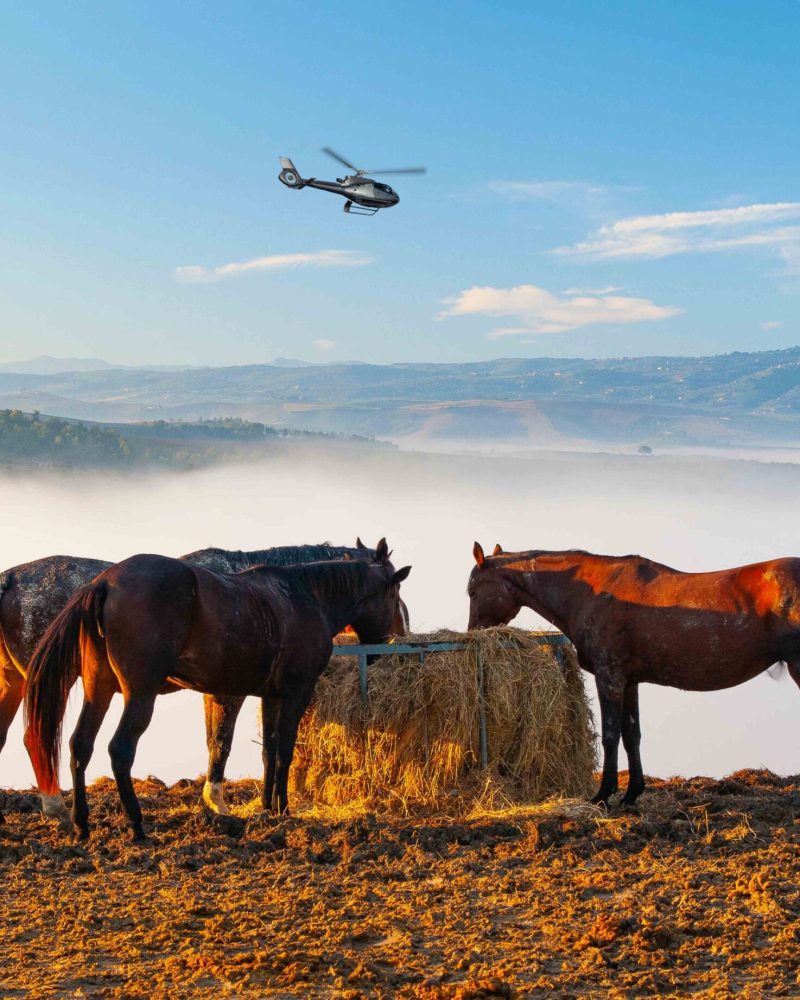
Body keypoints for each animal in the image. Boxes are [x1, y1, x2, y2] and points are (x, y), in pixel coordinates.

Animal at [24, 540, 411, 840]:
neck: (303, 598)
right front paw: (284, 810)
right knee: (120, 750)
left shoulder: (270, 696)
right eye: (396, 594)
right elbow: (284, 751)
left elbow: (269, 752)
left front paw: (268, 809)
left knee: (80, 746)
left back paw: (82, 825)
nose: (392, 644)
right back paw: (136, 825)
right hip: (139, 695)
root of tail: (105, 583)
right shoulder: (295, 693)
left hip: (99, 690)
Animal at [467, 542, 800, 805]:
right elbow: (632, 735)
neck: (593, 593)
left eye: (472, 590)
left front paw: (604, 794)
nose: (472, 633)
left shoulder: (610, 677)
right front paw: (631, 794)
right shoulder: (630, 682)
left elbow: (611, 735)